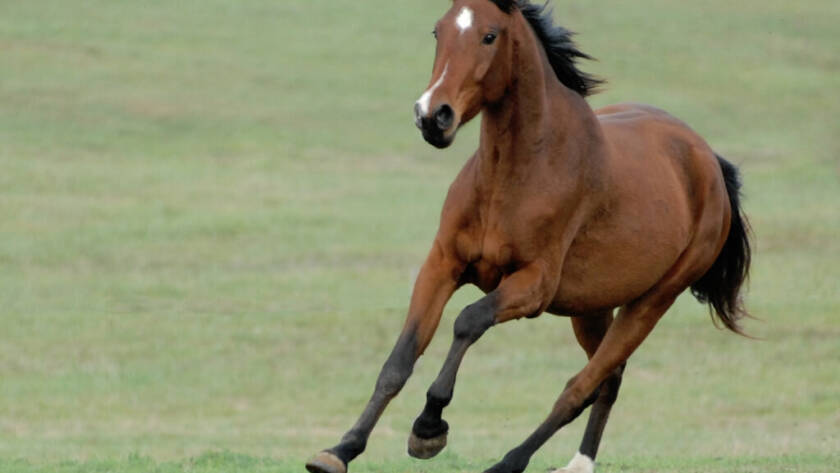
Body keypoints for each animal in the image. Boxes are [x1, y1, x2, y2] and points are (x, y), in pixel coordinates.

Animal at [306, 0, 752, 472]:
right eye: (437, 31)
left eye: (490, 36)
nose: (431, 116)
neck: (515, 174)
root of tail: (709, 161)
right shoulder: (442, 264)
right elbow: (400, 359)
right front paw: (340, 450)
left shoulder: (534, 285)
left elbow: (468, 321)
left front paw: (428, 427)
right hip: (592, 307)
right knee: (608, 379)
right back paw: (578, 463)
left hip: (652, 301)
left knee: (580, 386)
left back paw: (510, 462)